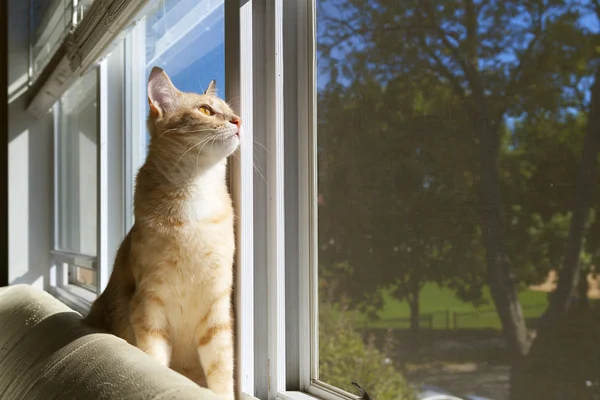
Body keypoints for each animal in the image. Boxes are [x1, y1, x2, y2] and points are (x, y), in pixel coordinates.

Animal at [84, 66, 241, 400]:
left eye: (231, 111)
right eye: (205, 110)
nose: (238, 122)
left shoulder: (218, 307)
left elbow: (222, 371)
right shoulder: (149, 306)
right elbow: (154, 359)